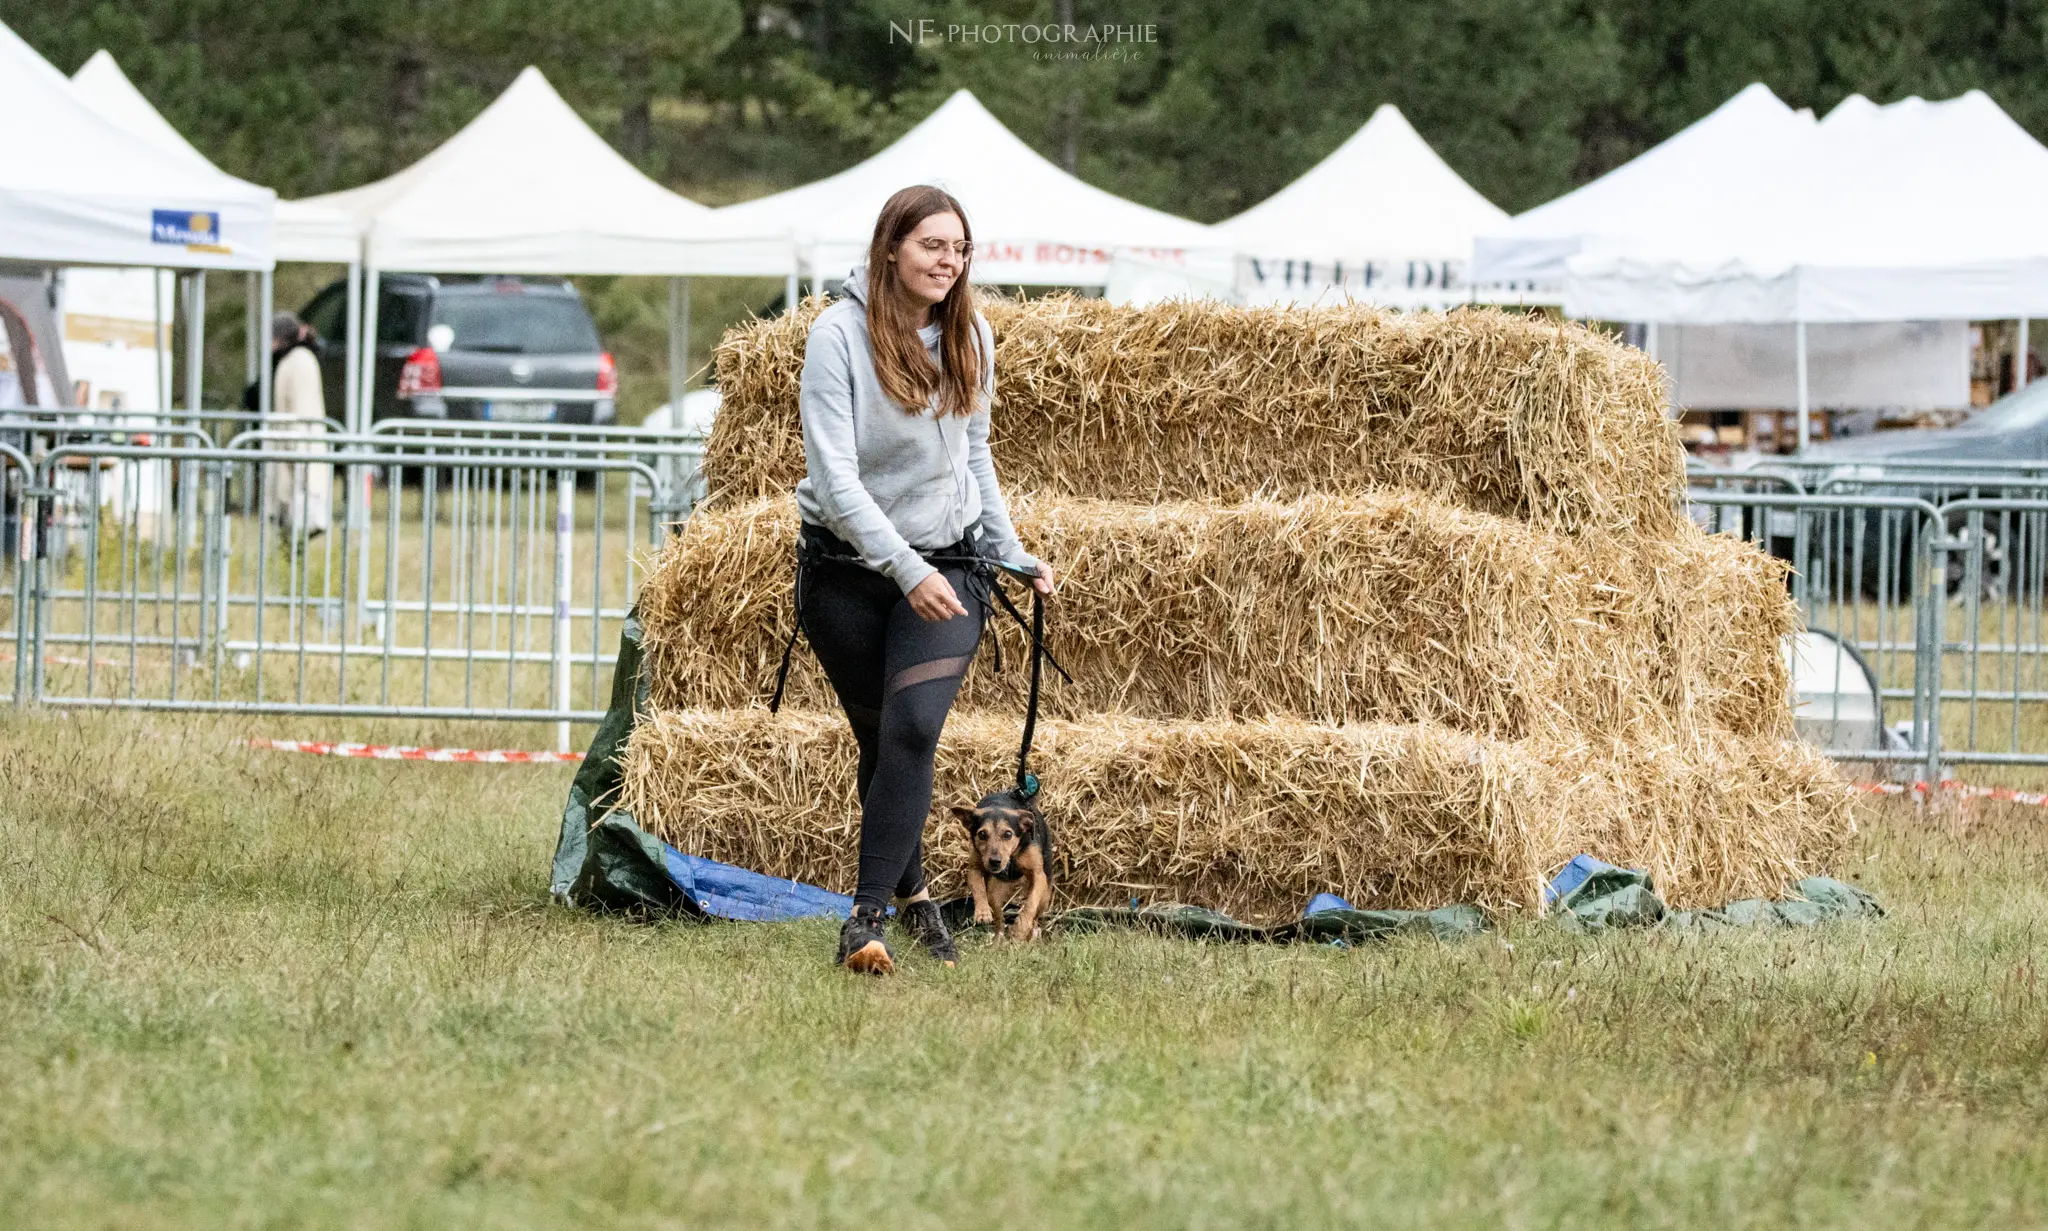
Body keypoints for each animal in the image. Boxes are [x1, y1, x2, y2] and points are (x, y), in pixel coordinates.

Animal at [950, 786, 1056, 942]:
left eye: (1008, 834)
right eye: (982, 834)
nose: (995, 861)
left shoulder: (1038, 874)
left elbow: (1030, 903)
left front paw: (1020, 928)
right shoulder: (975, 868)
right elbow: (978, 888)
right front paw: (982, 912)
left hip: (1045, 897)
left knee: (1036, 915)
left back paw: (1031, 934)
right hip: (995, 893)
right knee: (999, 919)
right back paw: (998, 939)